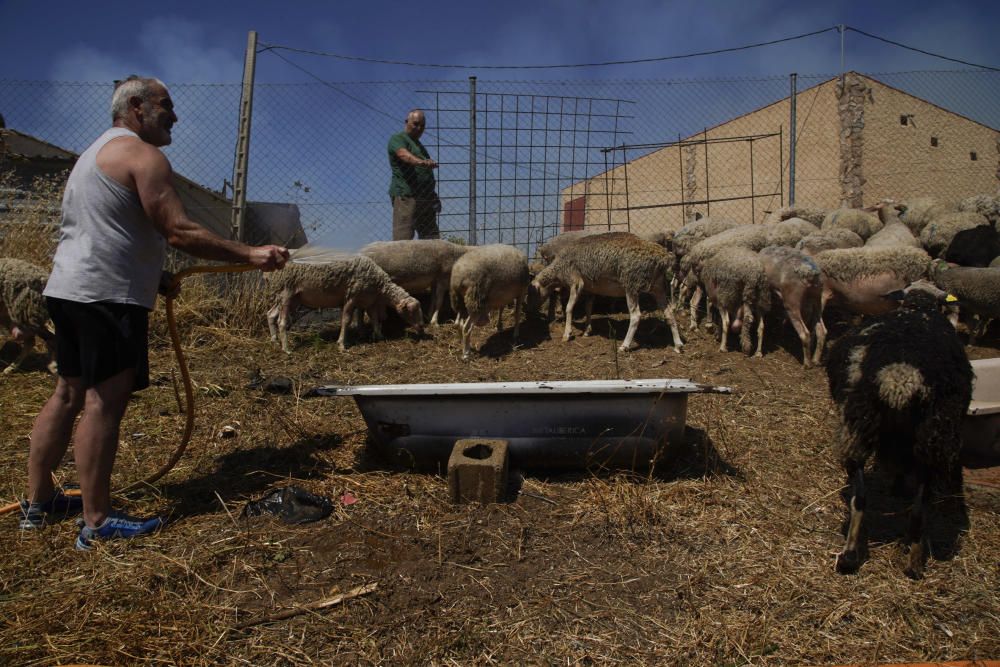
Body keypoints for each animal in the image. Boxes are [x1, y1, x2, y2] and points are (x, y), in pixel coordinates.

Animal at [266, 254, 422, 354]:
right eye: (412, 312)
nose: (422, 328)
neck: (379, 285)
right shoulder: (351, 297)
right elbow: (346, 320)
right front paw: (341, 344)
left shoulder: (369, 300)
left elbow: (374, 319)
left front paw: (379, 336)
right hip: (286, 293)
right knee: (281, 321)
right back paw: (286, 349)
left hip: (291, 298)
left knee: (271, 314)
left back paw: (274, 340)